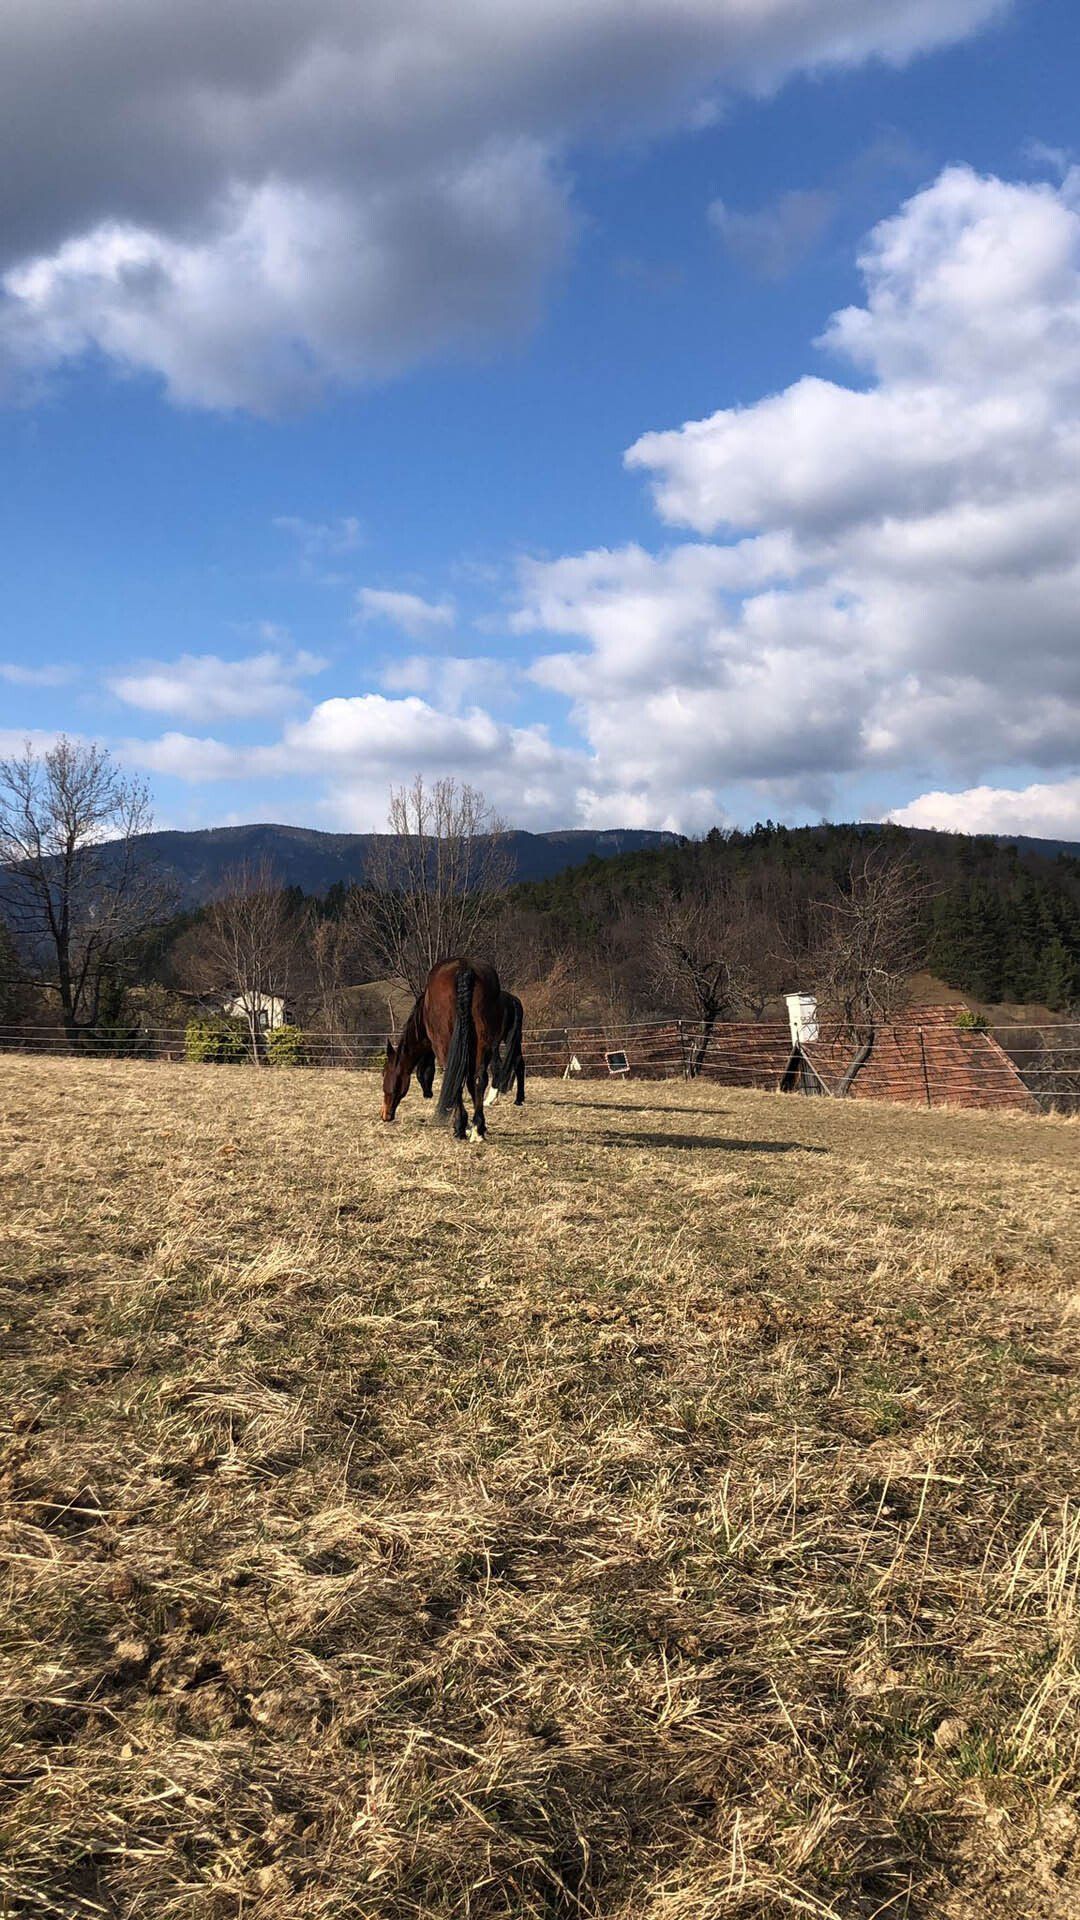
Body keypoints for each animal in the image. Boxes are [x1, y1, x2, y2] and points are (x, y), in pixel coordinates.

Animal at [382, 958, 502, 1139]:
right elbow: (471, 1083)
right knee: (480, 1078)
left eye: (384, 1074)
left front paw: (461, 1125)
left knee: (454, 1079)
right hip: (484, 1043)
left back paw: (459, 1127)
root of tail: (465, 969)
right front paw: (478, 1125)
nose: (385, 1115)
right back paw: (477, 1130)